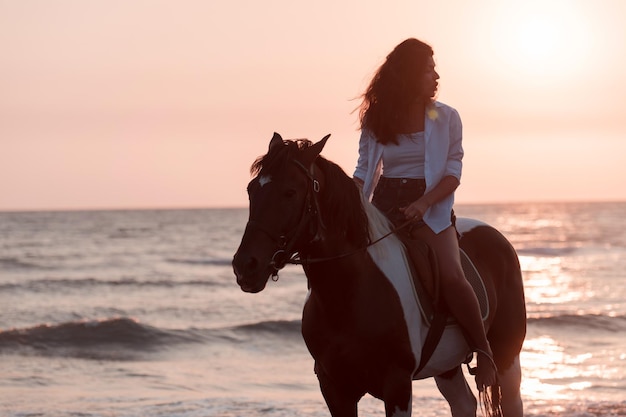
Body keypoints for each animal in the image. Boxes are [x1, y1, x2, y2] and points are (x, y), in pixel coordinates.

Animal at [232, 133, 524, 416]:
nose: (246, 265)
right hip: (447, 366)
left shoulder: (397, 385)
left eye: (290, 192)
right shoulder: (334, 388)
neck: (350, 294)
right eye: (251, 190)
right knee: (463, 403)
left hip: (507, 354)